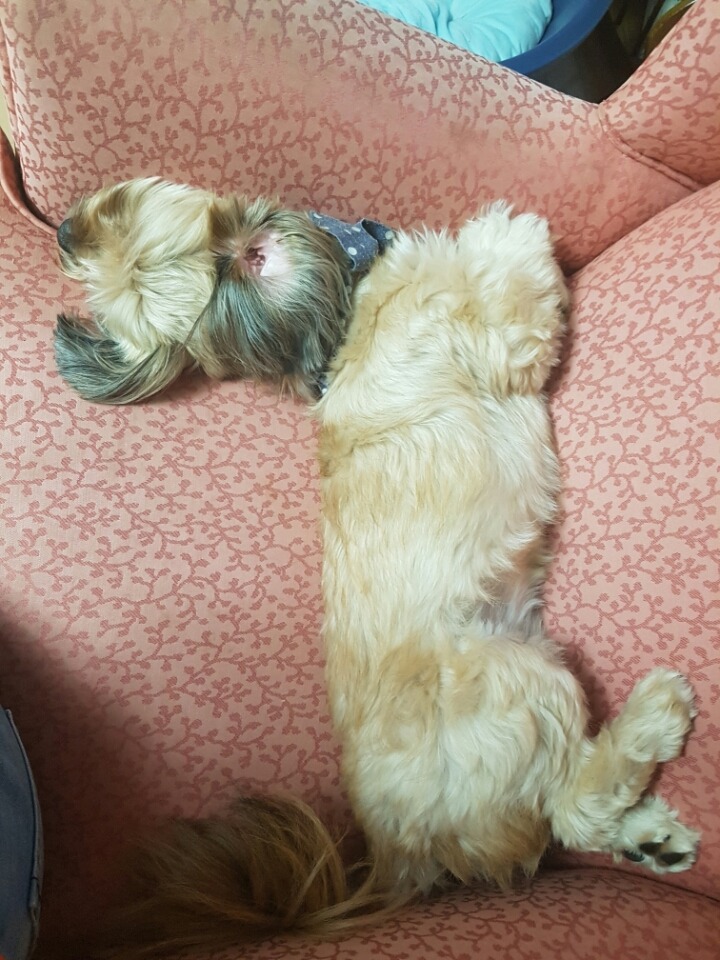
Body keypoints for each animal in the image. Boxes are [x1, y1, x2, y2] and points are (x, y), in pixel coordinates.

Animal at [56, 179, 700, 957]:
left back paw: (652, 839)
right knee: (572, 808)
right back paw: (654, 717)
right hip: (517, 677)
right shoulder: (498, 335)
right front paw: (505, 232)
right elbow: (509, 283)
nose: (63, 231)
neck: (348, 300)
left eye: (113, 206)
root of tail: (400, 849)